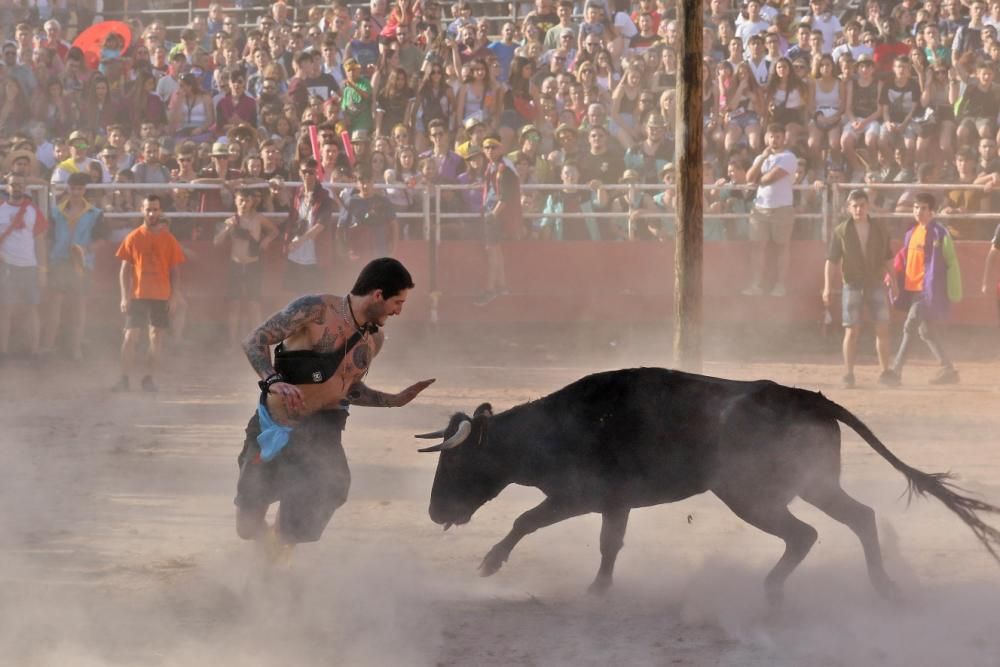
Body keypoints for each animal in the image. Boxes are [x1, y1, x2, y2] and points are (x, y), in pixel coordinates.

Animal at [414, 368, 1000, 604]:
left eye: (457, 465)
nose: (436, 511)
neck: (560, 425)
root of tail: (811, 399)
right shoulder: (615, 503)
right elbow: (610, 544)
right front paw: (599, 588)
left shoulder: (579, 495)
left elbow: (525, 519)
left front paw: (490, 563)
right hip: (813, 483)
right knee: (860, 517)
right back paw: (884, 587)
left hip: (751, 496)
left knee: (805, 535)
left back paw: (772, 590)